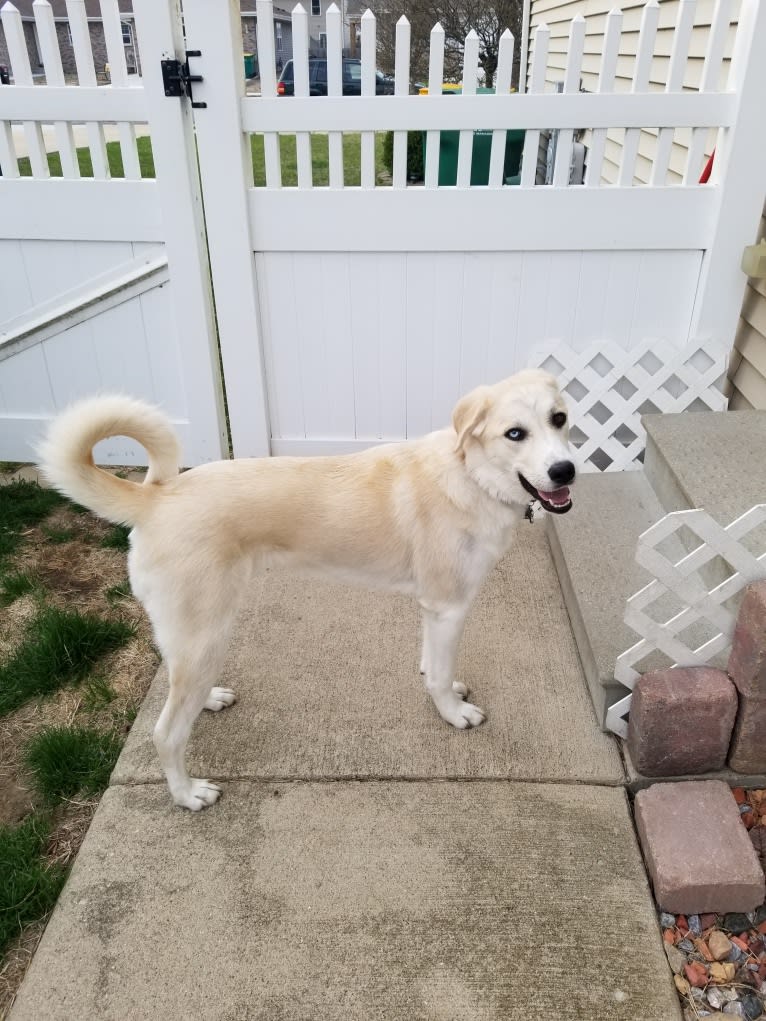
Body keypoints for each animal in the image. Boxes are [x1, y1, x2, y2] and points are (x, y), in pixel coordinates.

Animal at [36, 371, 576, 808]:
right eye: (514, 433)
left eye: (560, 419)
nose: (565, 471)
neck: (470, 476)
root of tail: (154, 498)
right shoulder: (449, 606)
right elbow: (440, 678)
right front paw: (453, 714)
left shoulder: (433, 609)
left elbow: (431, 664)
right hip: (207, 634)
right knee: (166, 733)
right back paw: (187, 795)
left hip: (191, 636)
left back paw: (208, 699)